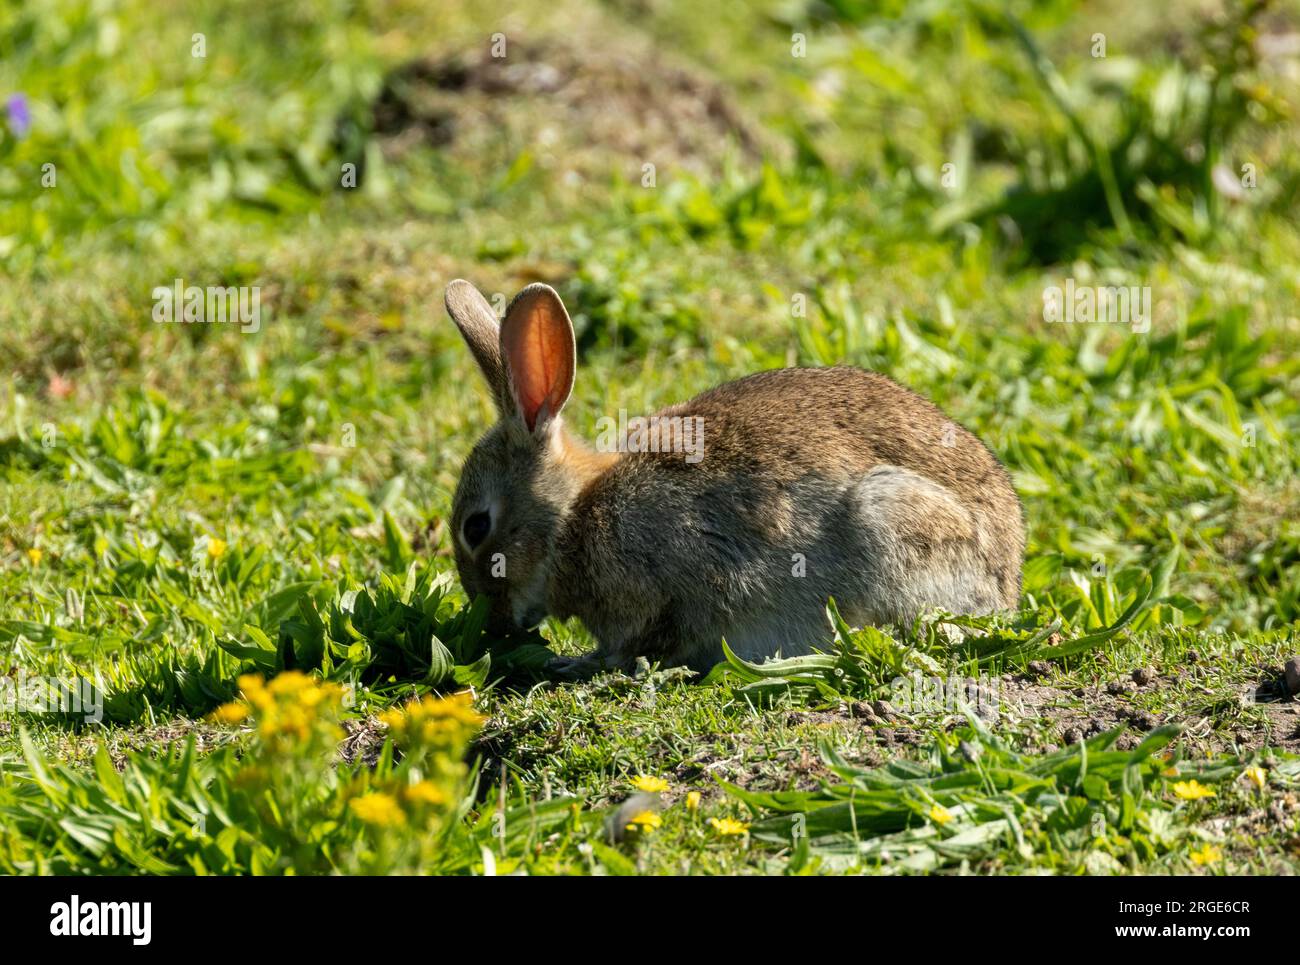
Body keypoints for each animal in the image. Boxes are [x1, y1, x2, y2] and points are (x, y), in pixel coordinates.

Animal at [444, 275, 1024, 676]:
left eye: (476, 527)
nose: (492, 624)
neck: (574, 515)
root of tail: (1007, 581)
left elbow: (636, 642)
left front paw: (576, 664)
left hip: (892, 516)